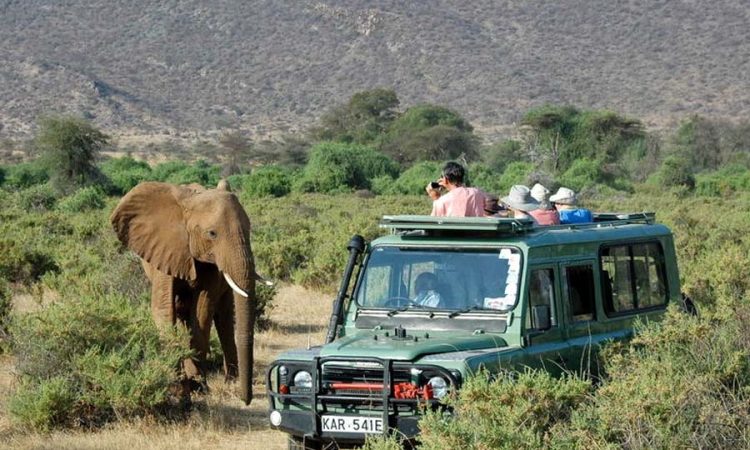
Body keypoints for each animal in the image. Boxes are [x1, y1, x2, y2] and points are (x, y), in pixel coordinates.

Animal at [110, 180, 256, 405]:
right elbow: (163, 310)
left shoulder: (210, 266)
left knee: (222, 317)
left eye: (249, 229)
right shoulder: (165, 249)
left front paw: (197, 387)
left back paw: (230, 380)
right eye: (212, 234)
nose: (246, 400)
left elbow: (203, 311)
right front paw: (179, 391)